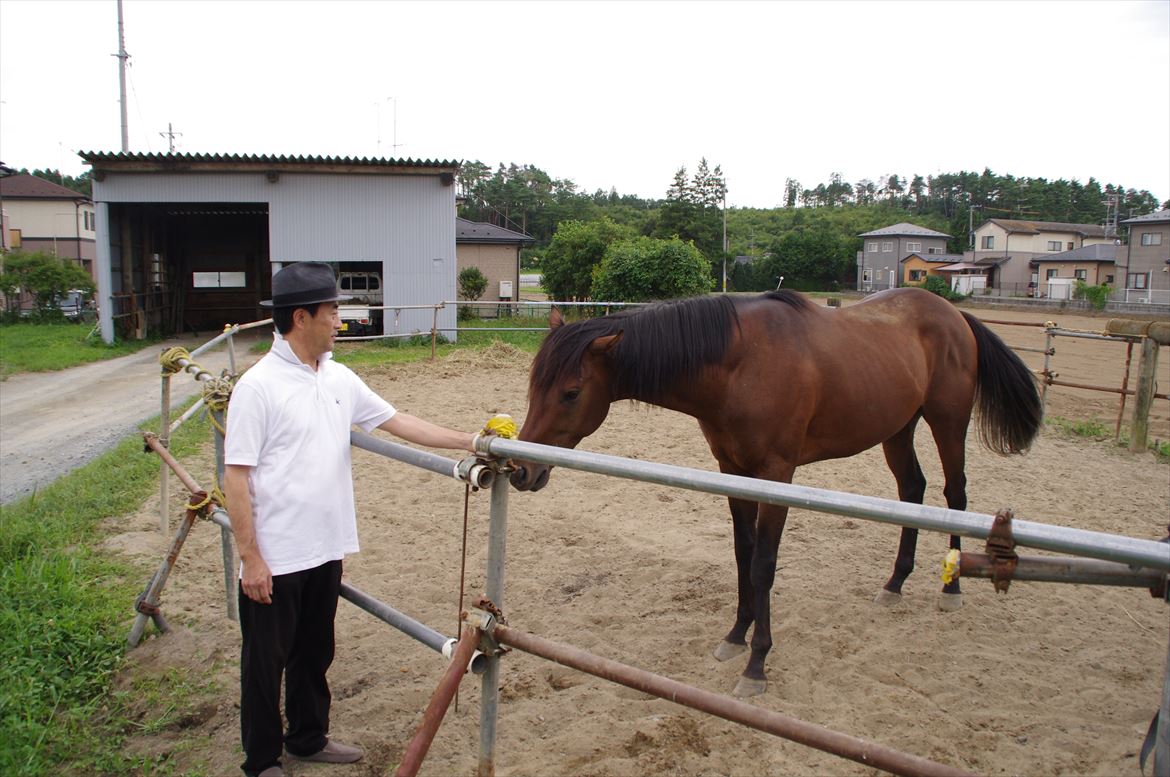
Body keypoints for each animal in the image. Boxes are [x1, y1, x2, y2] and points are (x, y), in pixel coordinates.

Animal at [509, 287, 1042, 697]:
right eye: (535, 386)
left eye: (571, 392)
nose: (521, 471)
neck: (740, 364)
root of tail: (953, 313)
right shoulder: (732, 471)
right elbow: (743, 555)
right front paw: (735, 635)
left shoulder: (776, 475)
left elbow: (764, 564)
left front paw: (757, 663)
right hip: (897, 428)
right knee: (913, 490)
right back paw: (894, 583)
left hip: (948, 422)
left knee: (955, 496)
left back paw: (950, 588)